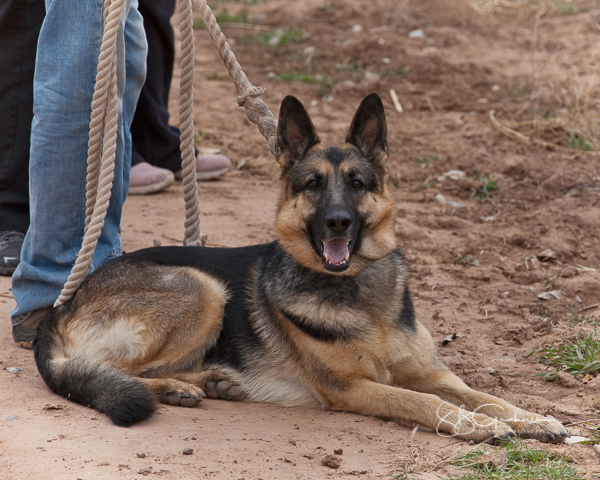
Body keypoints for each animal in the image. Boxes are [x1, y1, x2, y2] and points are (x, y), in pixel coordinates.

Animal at [32, 93, 568, 442]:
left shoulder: (434, 373)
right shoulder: (352, 388)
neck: (358, 293)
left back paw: (210, 382)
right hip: (202, 288)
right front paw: (476, 427)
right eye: (312, 184)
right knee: (101, 369)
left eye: (357, 183)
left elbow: (485, 395)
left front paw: (532, 419)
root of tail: (63, 305)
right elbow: (422, 403)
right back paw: (177, 387)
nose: (338, 222)